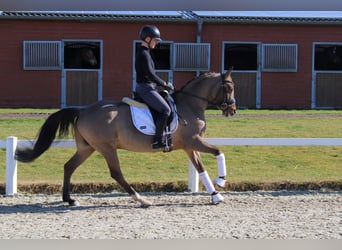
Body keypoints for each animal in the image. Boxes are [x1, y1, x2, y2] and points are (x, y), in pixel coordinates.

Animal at [15, 71, 235, 207]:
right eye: (230, 87)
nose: (232, 110)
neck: (190, 104)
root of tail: (83, 110)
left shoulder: (190, 146)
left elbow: (201, 168)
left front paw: (216, 195)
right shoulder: (193, 141)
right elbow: (219, 152)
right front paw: (221, 181)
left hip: (87, 148)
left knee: (69, 166)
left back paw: (69, 200)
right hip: (107, 148)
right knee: (116, 173)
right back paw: (141, 200)